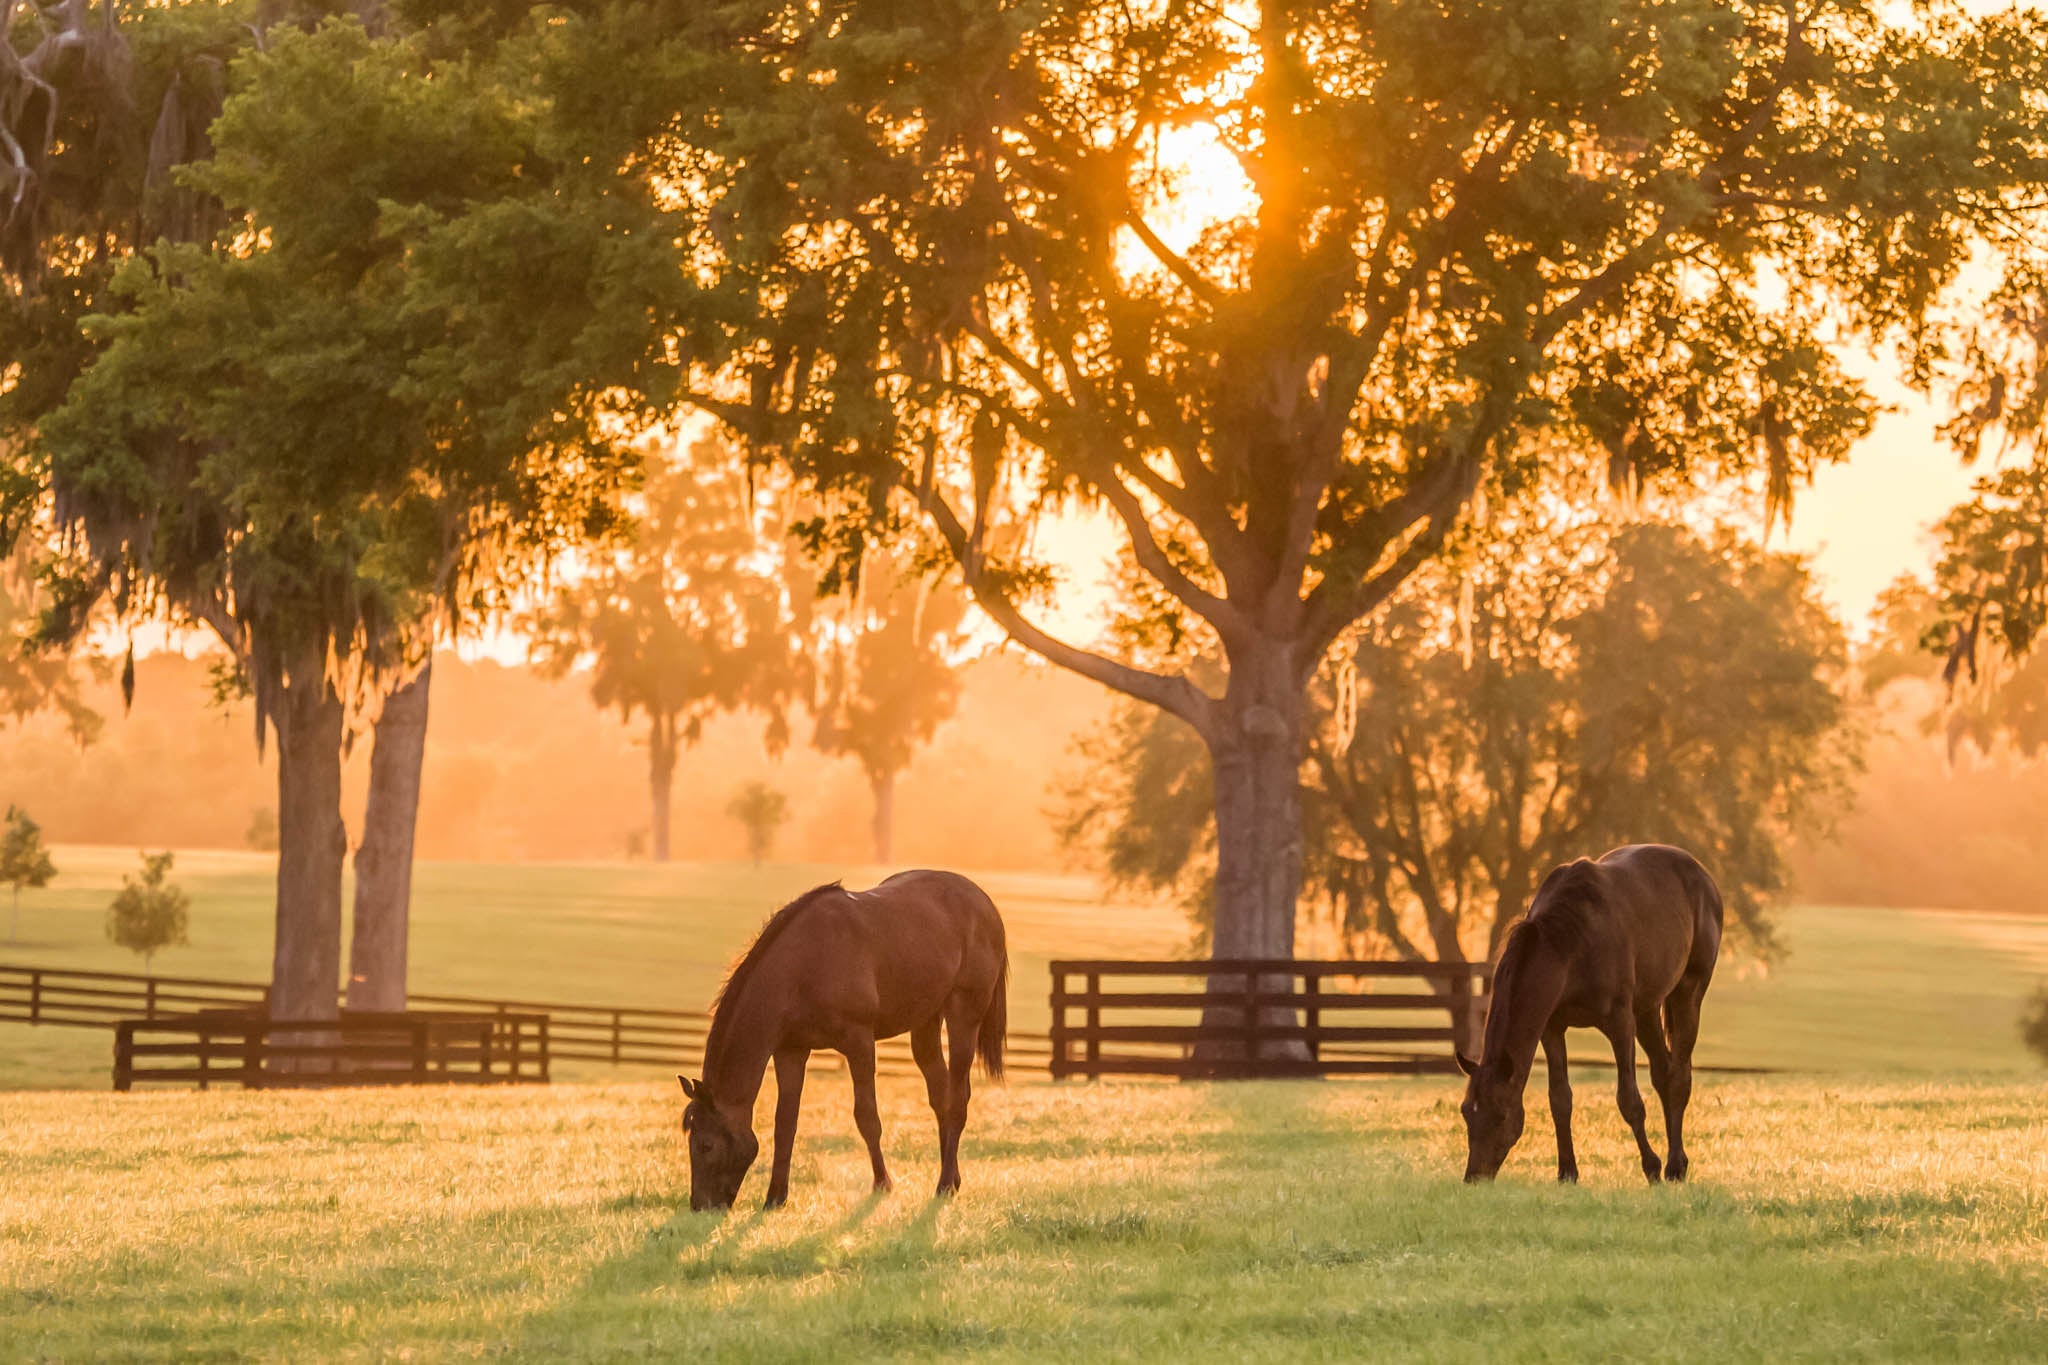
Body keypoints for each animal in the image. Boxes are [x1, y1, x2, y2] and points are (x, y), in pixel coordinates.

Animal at [679, 871, 1007, 1211]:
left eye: (706, 1145)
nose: (700, 1205)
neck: (804, 965)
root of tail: (984, 903)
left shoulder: (859, 1042)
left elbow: (867, 1117)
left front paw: (882, 1184)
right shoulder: (791, 1051)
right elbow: (785, 1124)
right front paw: (775, 1197)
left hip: (963, 1016)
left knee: (957, 1099)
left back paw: (943, 1185)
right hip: (926, 1022)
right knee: (940, 1096)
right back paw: (951, 1179)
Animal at [1449, 843, 1720, 1186]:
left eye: (1500, 1115)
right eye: (1465, 1111)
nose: (1474, 1177)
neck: (1569, 945)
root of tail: (1703, 876)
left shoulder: (1620, 1023)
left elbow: (1629, 1100)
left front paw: (1651, 1168)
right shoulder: (1552, 1028)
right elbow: (1560, 1100)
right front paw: (1567, 1172)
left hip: (1688, 992)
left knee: (1679, 1076)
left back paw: (1674, 1166)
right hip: (1647, 1010)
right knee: (1663, 1073)